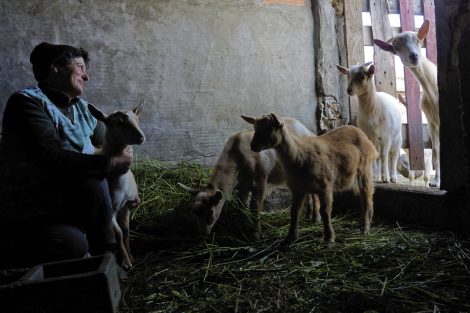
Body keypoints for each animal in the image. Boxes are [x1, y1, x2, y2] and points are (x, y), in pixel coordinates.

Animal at [88, 101, 145, 266]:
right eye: (119, 122)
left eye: (137, 119)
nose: (141, 136)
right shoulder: (111, 211)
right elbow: (119, 233)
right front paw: (125, 260)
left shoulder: (126, 206)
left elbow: (126, 231)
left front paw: (130, 255)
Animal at [179, 116, 320, 239]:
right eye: (194, 212)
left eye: (210, 212)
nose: (202, 234)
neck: (235, 157)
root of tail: (309, 131)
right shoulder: (243, 185)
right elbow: (241, 205)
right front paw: (244, 226)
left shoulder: (261, 179)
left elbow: (255, 206)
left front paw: (256, 234)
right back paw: (308, 215)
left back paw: (315, 219)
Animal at [242, 113, 378, 245]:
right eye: (255, 128)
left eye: (269, 128)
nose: (253, 146)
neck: (297, 154)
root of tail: (360, 132)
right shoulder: (298, 189)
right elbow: (294, 212)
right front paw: (290, 238)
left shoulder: (325, 186)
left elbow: (325, 211)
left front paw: (329, 238)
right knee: (368, 197)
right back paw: (365, 222)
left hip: (365, 169)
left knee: (366, 197)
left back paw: (365, 228)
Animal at [372, 18, 438, 186]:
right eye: (396, 48)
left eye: (418, 41)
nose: (414, 56)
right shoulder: (432, 122)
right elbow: (436, 151)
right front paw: (435, 182)